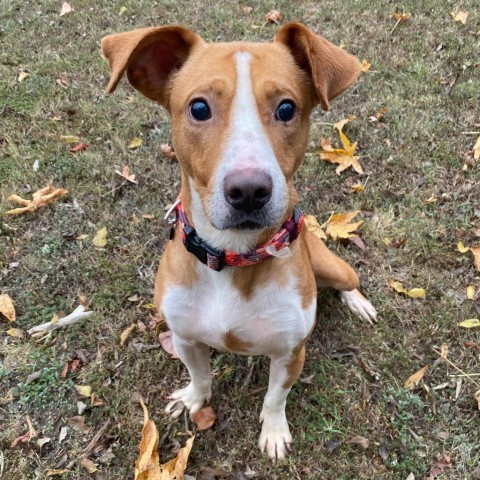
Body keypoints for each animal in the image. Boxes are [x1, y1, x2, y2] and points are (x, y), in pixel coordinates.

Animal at [102, 23, 376, 462]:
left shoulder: (290, 352)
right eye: (199, 108)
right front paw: (194, 398)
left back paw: (358, 302)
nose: (249, 191)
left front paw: (274, 432)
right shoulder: (185, 338)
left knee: (350, 280)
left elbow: (275, 398)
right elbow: (200, 375)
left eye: (287, 109)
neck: (232, 256)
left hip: (331, 265)